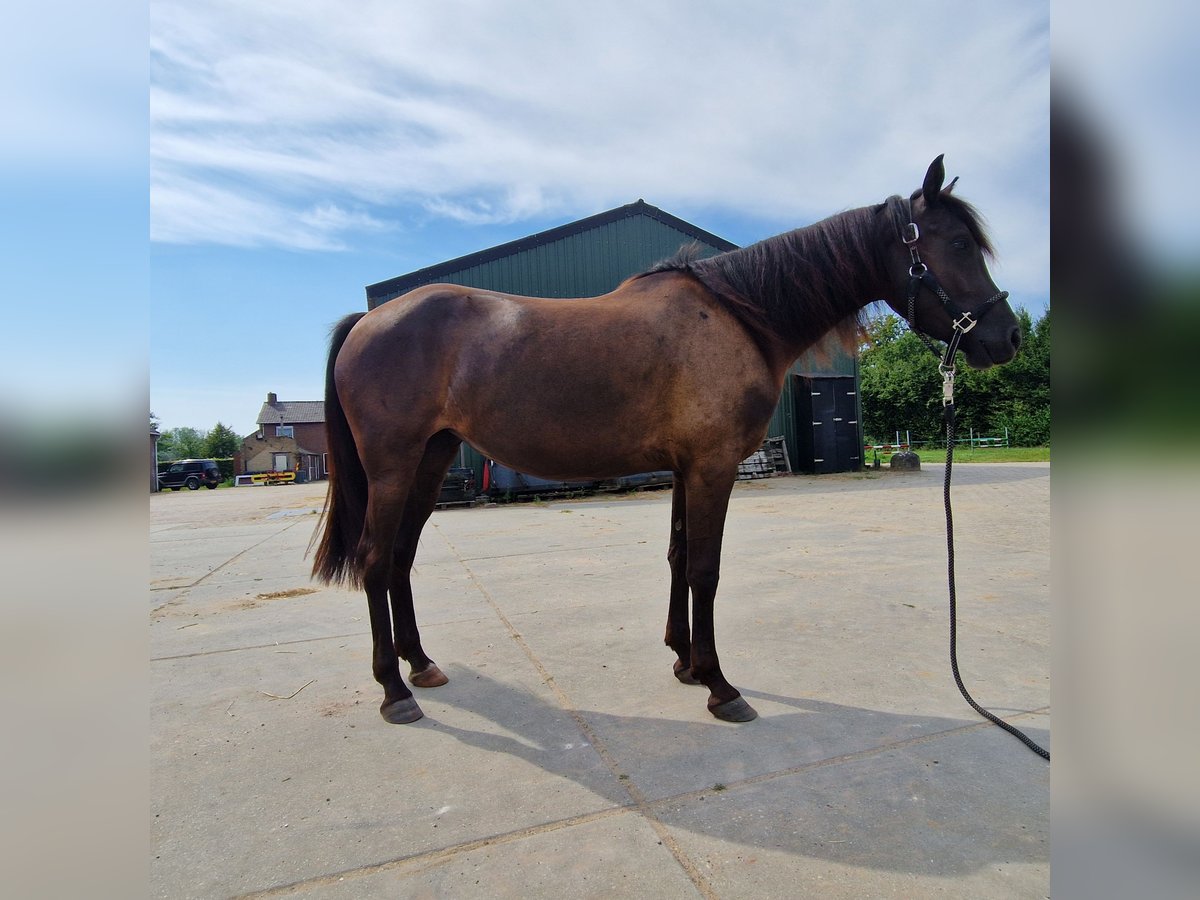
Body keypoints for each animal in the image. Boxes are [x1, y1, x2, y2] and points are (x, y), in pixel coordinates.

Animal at [312, 157, 1022, 724]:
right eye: (957, 241)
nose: (1007, 337)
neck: (743, 317)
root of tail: (369, 321)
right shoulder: (712, 466)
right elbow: (706, 568)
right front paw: (719, 684)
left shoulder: (686, 468)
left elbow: (680, 558)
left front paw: (683, 661)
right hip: (394, 466)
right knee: (374, 559)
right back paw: (394, 691)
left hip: (430, 461)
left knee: (399, 557)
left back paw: (421, 664)